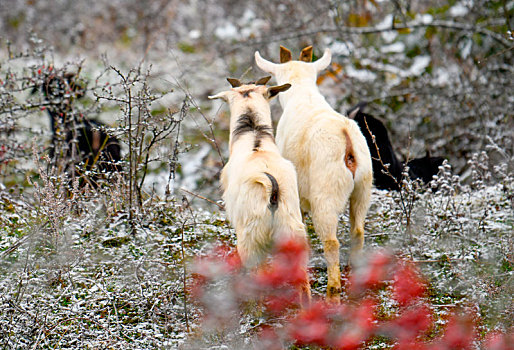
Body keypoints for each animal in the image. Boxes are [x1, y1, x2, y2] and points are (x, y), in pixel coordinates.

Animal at [253, 45, 370, 304]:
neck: (302, 93)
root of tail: (347, 141)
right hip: (364, 187)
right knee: (358, 231)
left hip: (326, 193)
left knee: (331, 241)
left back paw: (332, 294)